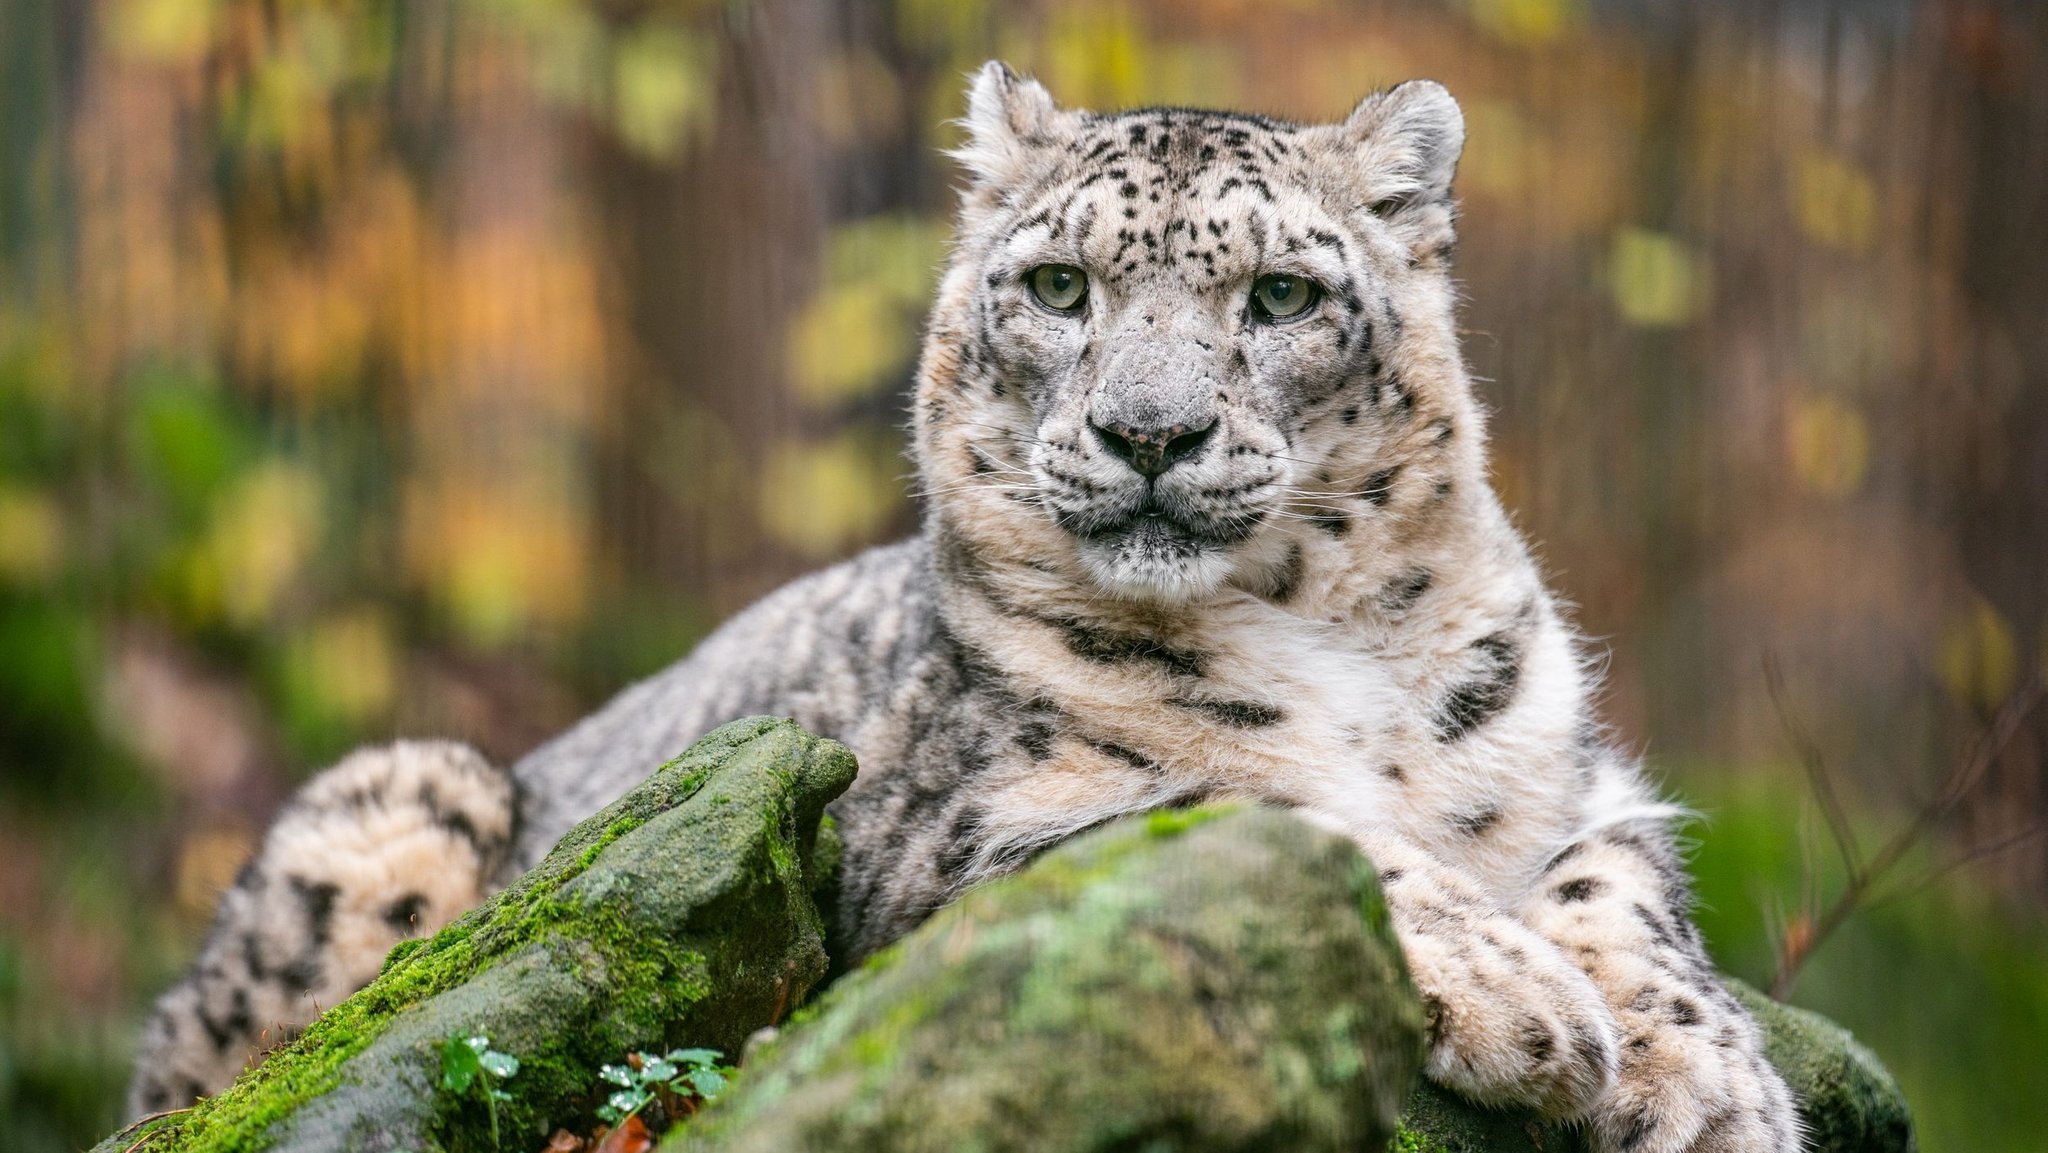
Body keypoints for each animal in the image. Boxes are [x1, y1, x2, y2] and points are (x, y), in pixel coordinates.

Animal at [128, 65, 1794, 1153]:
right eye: (1058, 286)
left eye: (1279, 297)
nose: (1149, 433)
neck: (1335, 646)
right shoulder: (958, 829)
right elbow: (1240, 809)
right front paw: (1525, 1002)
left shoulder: (1580, 774)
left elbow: (1624, 893)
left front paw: (1714, 1085)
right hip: (395, 803)